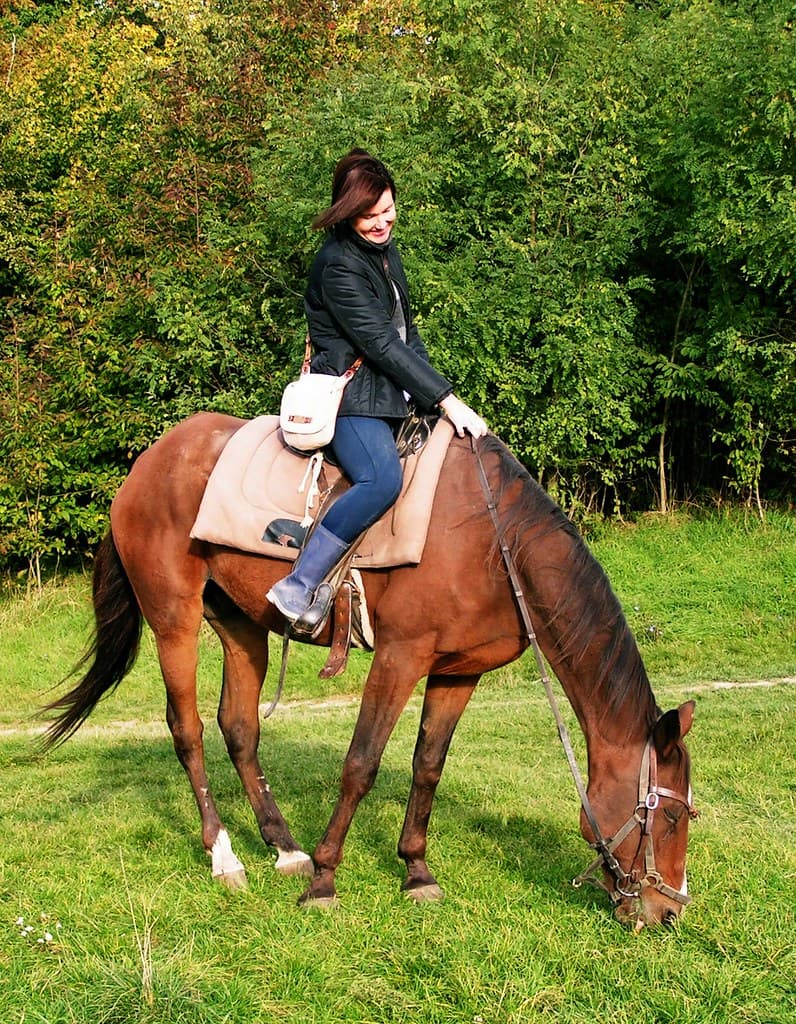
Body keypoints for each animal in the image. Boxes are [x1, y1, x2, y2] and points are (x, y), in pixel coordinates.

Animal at [42, 412, 696, 929]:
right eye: (667, 817)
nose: (667, 911)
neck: (494, 543)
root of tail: (146, 463)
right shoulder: (400, 657)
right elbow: (361, 764)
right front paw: (325, 880)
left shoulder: (458, 672)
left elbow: (427, 767)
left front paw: (416, 870)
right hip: (173, 618)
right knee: (189, 731)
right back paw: (225, 856)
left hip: (242, 625)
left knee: (240, 728)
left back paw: (285, 848)